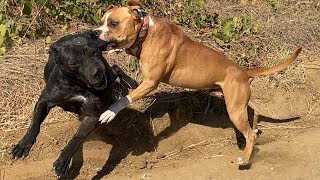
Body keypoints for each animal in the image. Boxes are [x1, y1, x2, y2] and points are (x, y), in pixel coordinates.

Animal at [10, 31, 136, 177]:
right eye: (74, 63)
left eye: (94, 51)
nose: (97, 72)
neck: (79, 85)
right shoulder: (44, 101)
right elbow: (34, 123)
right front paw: (23, 144)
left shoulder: (93, 114)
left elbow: (77, 138)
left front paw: (62, 161)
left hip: (109, 74)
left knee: (116, 69)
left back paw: (132, 83)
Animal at [96, 0, 302, 166]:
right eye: (101, 22)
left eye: (113, 23)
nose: (95, 32)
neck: (146, 33)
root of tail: (243, 71)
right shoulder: (143, 81)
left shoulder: (150, 82)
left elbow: (125, 99)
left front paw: (109, 112)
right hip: (237, 103)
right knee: (255, 111)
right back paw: (254, 129)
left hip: (234, 110)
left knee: (250, 135)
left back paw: (244, 159)